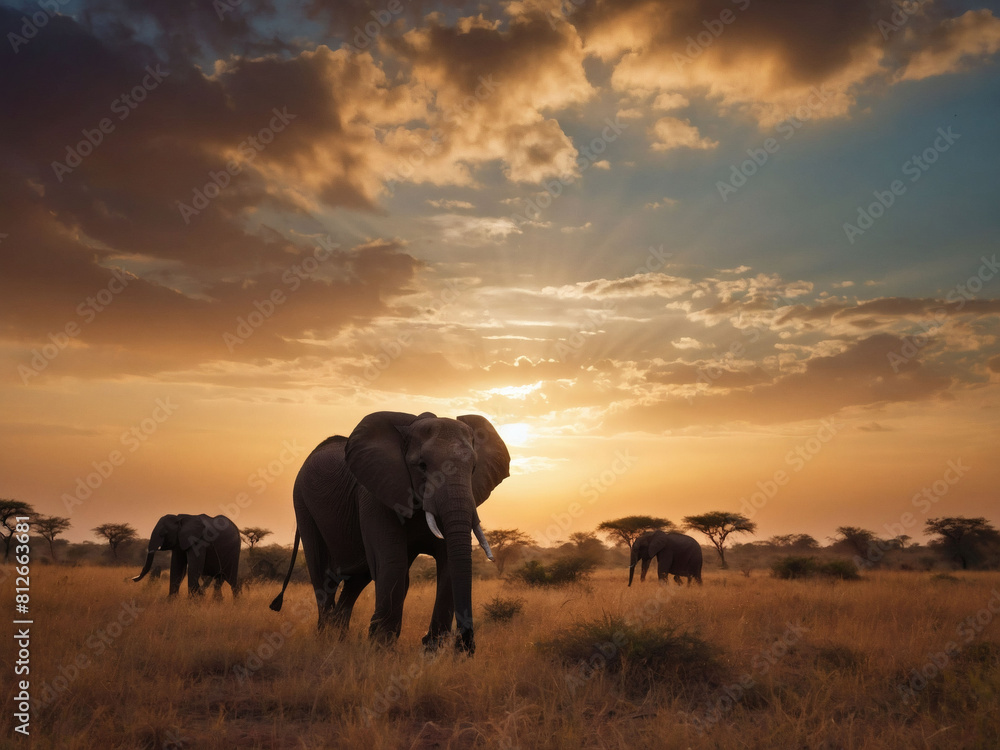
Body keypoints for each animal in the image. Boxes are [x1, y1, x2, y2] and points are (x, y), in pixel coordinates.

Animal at [268, 414, 508, 656]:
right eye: (422, 466)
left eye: (473, 468)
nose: (466, 646)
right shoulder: (375, 494)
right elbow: (392, 563)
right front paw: (382, 650)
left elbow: (447, 561)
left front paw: (430, 653)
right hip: (303, 504)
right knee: (324, 578)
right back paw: (326, 641)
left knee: (356, 581)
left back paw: (340, 641)